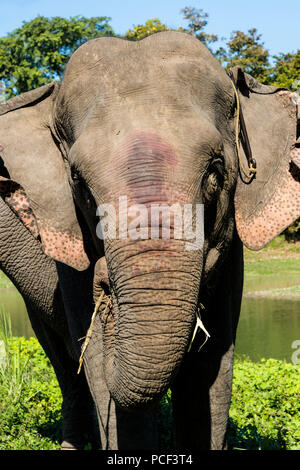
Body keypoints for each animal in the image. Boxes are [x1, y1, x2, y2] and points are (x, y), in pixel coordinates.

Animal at [0, 31, 298, 450]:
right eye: (79, 183)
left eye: (216, 171)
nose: (106, 284)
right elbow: (98, 370)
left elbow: (211, 367)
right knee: (63, 357)